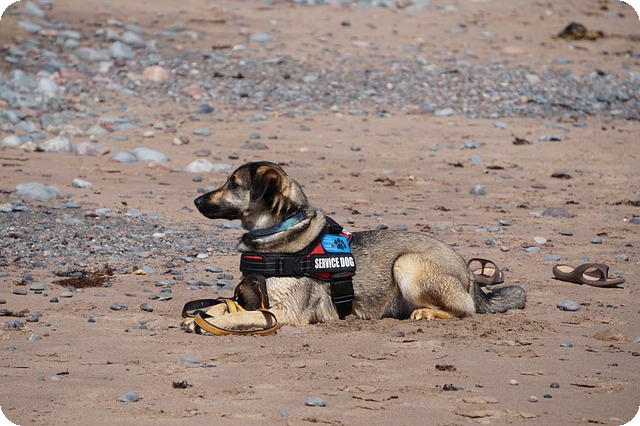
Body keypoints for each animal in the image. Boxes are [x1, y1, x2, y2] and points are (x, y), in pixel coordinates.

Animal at [184, 161, 525, 332]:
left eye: (233, 184)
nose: (196, 200)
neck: (280, 231)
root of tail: (471, 277)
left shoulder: (284, 312)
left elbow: (238, 316)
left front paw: (210, 323)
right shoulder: (252, 298)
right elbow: (222, 305)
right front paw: (202, 314)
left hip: (408, 264)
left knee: (465, 310)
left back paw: (427, 313)